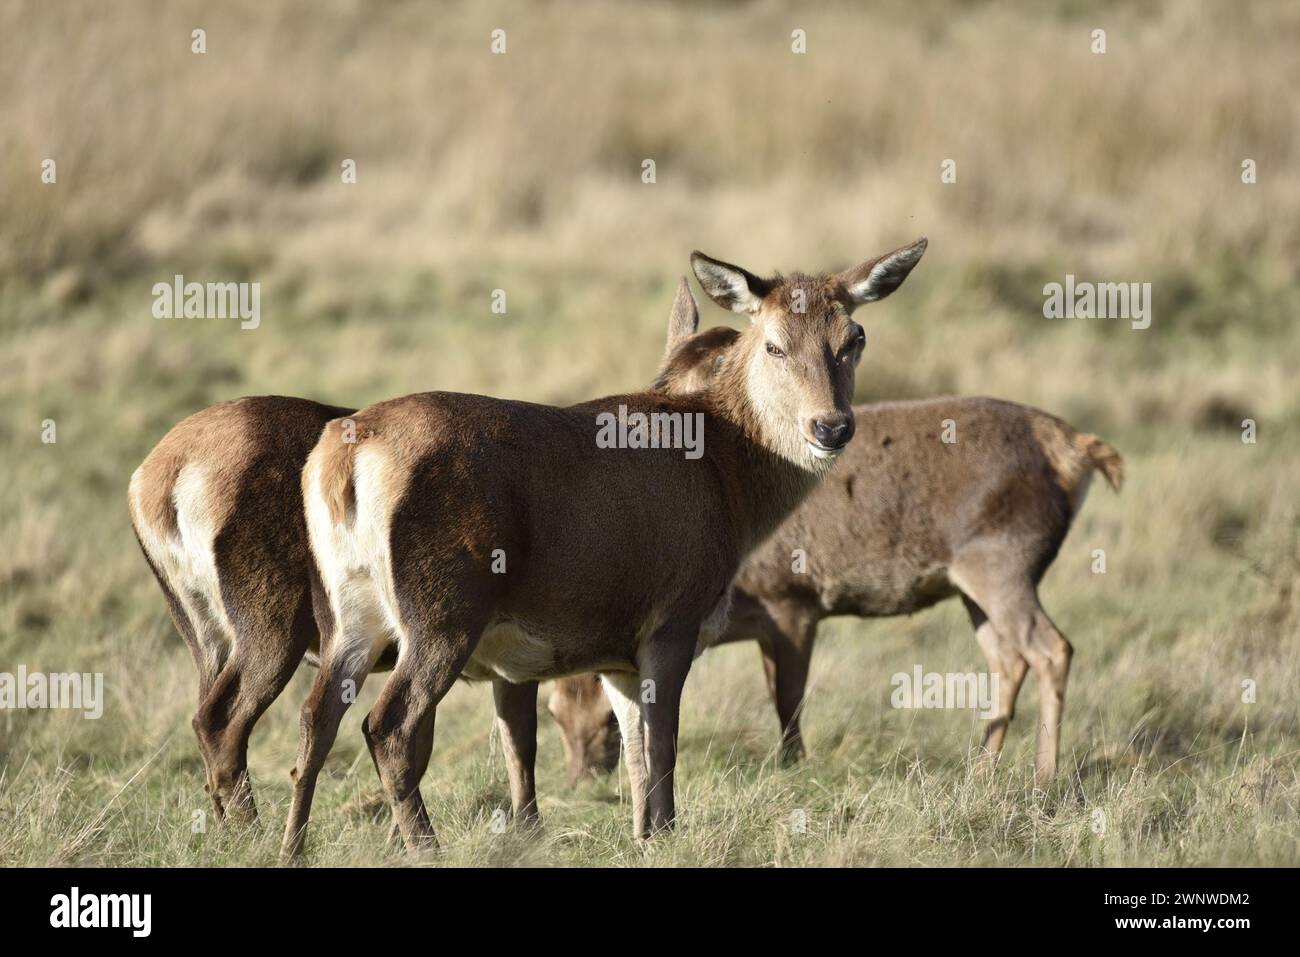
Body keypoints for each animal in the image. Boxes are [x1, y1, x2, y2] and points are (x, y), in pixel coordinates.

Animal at [289, 239, 930, 852]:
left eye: (855, 338)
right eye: (773, 345)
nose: (832, 426)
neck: (735, 490)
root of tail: (342, 456)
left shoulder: (619, 652)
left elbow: (636, 749)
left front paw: (642, 834)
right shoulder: (674, 614)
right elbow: (664, 742)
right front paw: (666, 835)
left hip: (350, 608)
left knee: (316, 715)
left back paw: (293, 845)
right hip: (442, 607)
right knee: (389, 725)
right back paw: (427, 847)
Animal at [546, 325, 1118, 790]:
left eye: (607, 718)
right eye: (552, 713)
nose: (579, 782)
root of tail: (1076, 450)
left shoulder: (793, 600)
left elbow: (788, 702)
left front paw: (793, 768)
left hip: (1005, 561)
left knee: (1052, 649)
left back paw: (1044, 778)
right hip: (973, 581)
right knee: (1007, 658)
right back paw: (982, 768)